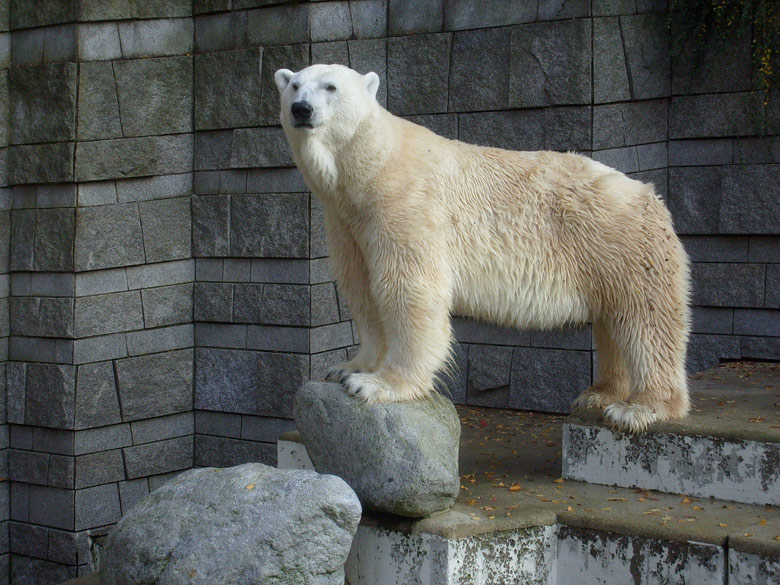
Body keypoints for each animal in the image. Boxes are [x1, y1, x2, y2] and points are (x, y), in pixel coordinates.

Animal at [274, 65, 688, 434]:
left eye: (331, 86)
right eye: (293, 85)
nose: (302, 110)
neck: (372, 165)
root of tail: (650, 195)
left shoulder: (406, 204)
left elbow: (408, 288)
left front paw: (379, 384)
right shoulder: (346, 220)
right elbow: (361, 289)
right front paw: (350, 367)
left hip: (623, 242)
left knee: (646, 321)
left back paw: (640, 408)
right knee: (614, 321)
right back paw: (600, 393)